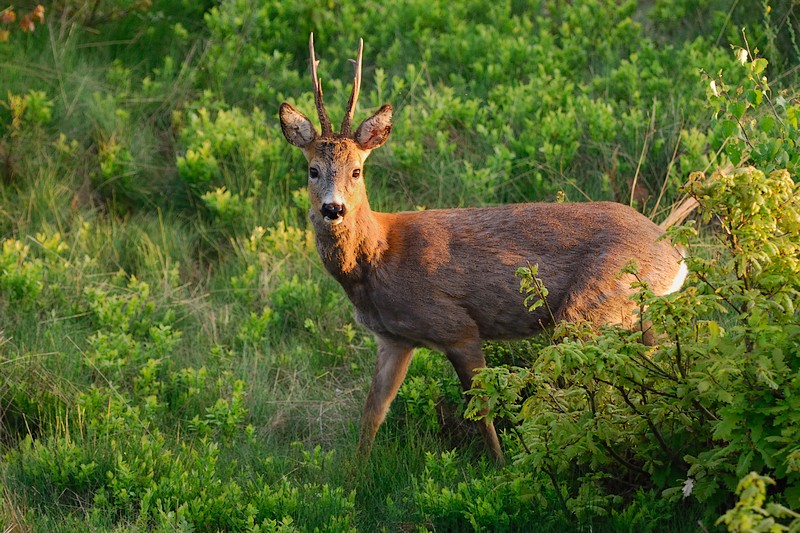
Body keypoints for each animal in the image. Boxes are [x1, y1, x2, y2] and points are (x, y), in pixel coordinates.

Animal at [282, 34, 692, 466]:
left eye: (357, 170)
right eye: (312, 170)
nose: (333, 209)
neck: (379, 258)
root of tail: (675, 254)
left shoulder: (458, 326)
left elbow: (481, 409)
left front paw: (501, 466)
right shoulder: (393, 338)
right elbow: (372, 414)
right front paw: (355, 475)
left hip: (591, 308)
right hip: (639, 317)